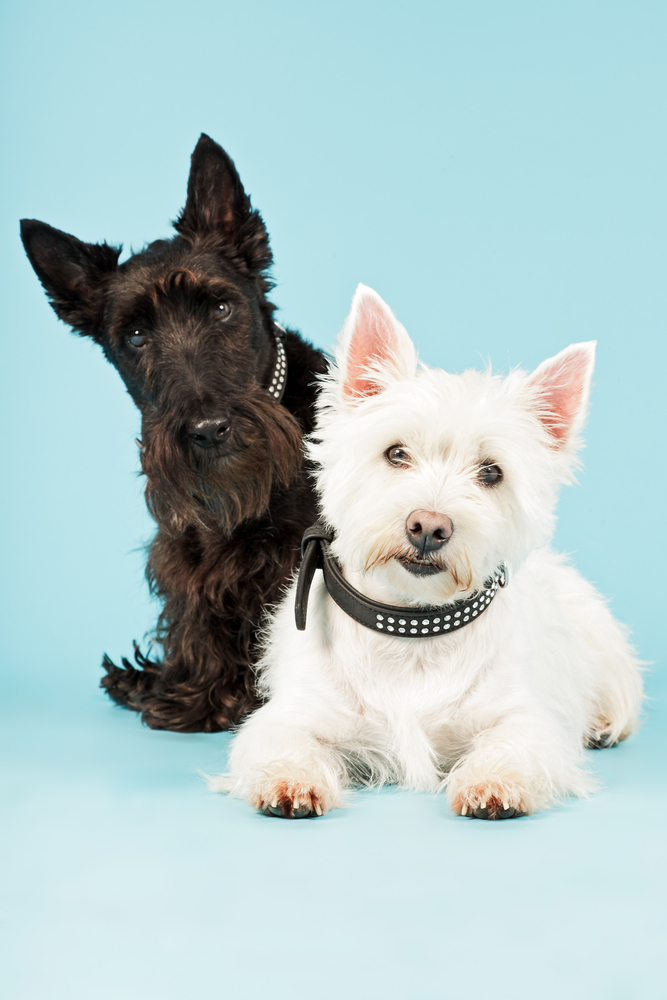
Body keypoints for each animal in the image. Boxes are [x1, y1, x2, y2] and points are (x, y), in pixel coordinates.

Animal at [24, 135, 328, 728]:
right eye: (137, 336)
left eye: (222, 307)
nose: (209, 430)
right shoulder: (186, 553)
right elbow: (195, 615)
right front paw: (191, 693)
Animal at [213, 284, 640, 820]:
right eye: (396, 453)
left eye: (491, 472)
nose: (429, 527)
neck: (411, 631)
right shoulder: (293, 714)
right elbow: (281, 741)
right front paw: (290, 780)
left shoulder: (524, 716)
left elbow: (516, 742)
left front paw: (493, 783)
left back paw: (604, 723)